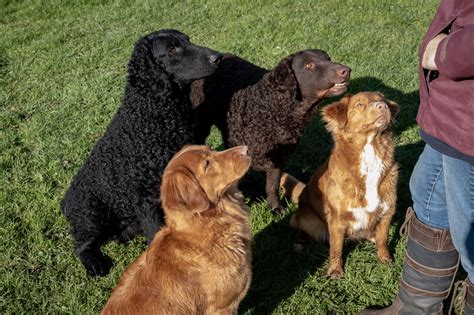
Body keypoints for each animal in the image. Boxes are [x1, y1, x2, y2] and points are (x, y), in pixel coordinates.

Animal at [60, 29, 222, 276]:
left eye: (188, 40)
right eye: (172, 48)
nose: (217, 57)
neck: (154, 115)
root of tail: (66, 201)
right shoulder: (146, 201)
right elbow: (156, 234)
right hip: (90, 212)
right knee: (82, 244)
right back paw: (94, 264)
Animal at [191, 50, 350, 216]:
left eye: (328, 59)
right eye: (309, 65)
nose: (346, 70)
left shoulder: (278, 157)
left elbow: (272, 185)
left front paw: (275, 207)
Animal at [282, 92, 400, 278]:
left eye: (381, 99)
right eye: (359, 104)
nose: (383, 106)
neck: (369, 154)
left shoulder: (387, 211)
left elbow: (382, 239)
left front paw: (385, 259)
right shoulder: (337, 219)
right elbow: (336, 248)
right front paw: (336, 270)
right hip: (311, 221)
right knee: (300, 225)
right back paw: (299, 243)